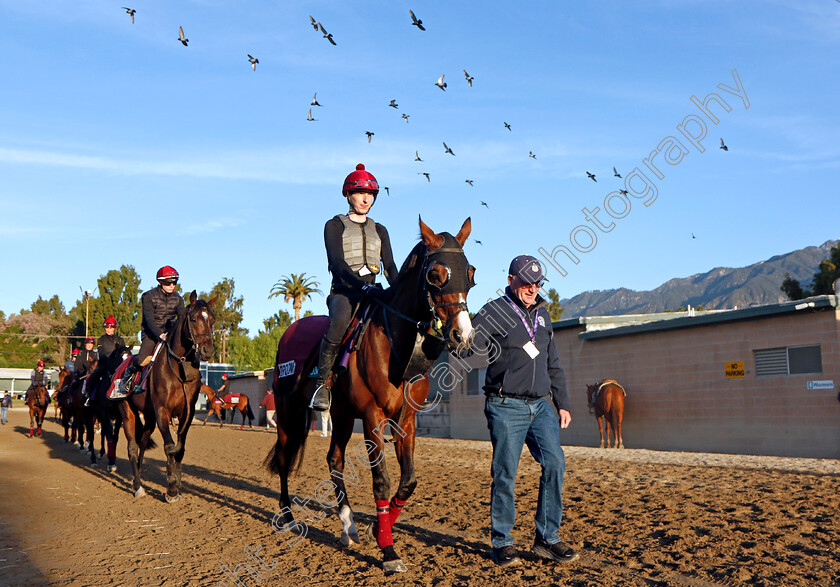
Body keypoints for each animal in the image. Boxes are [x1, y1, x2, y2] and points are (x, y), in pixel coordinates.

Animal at [119, 292, 217, 504]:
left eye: (212, 320)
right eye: (194, 318)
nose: (207, 351)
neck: (178, 368)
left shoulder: (187, 413)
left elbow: (180, 448)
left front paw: (177, 484)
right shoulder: (162, 411)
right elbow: (170, 446)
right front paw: (171, 488)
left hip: (148, 418)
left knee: (142, 444)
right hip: (128, 414)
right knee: (132, 448)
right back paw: (137, 486)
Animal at [270, 218, 480, 572]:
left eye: (471, 272)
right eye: (436, 275)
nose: (462, 334)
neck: (394, 342)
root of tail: (290, 331)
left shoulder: (405, 419)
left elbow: (408, 481)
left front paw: (375, 529)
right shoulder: (372, 416)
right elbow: (381, 479)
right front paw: (389, 551)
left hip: (340, 415)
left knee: (334, 459)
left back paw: (348, 525)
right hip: (289, 410)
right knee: (285, 459)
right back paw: (288, 517)